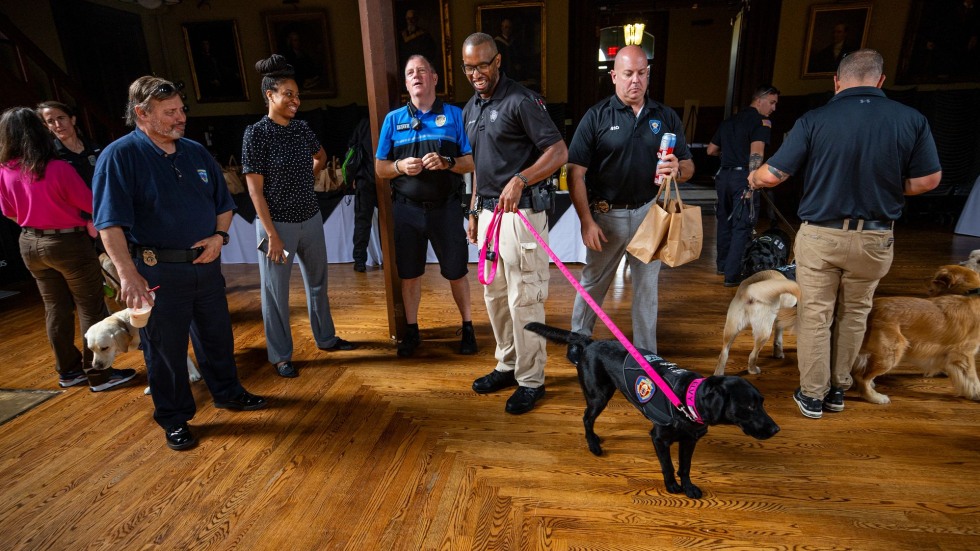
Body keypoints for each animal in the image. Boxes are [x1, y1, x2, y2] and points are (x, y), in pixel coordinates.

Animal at [528, 324, 780, 500]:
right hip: (598, 395)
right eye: (750, 406)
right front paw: (671, 486)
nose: (776, 429)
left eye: (762, 403)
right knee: (586, 418)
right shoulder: (659, 439)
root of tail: (590, 343)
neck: (687, 399)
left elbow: (685, 467)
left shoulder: (689, 440)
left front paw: (688, 487)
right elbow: (668, 465)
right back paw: (593, 444)